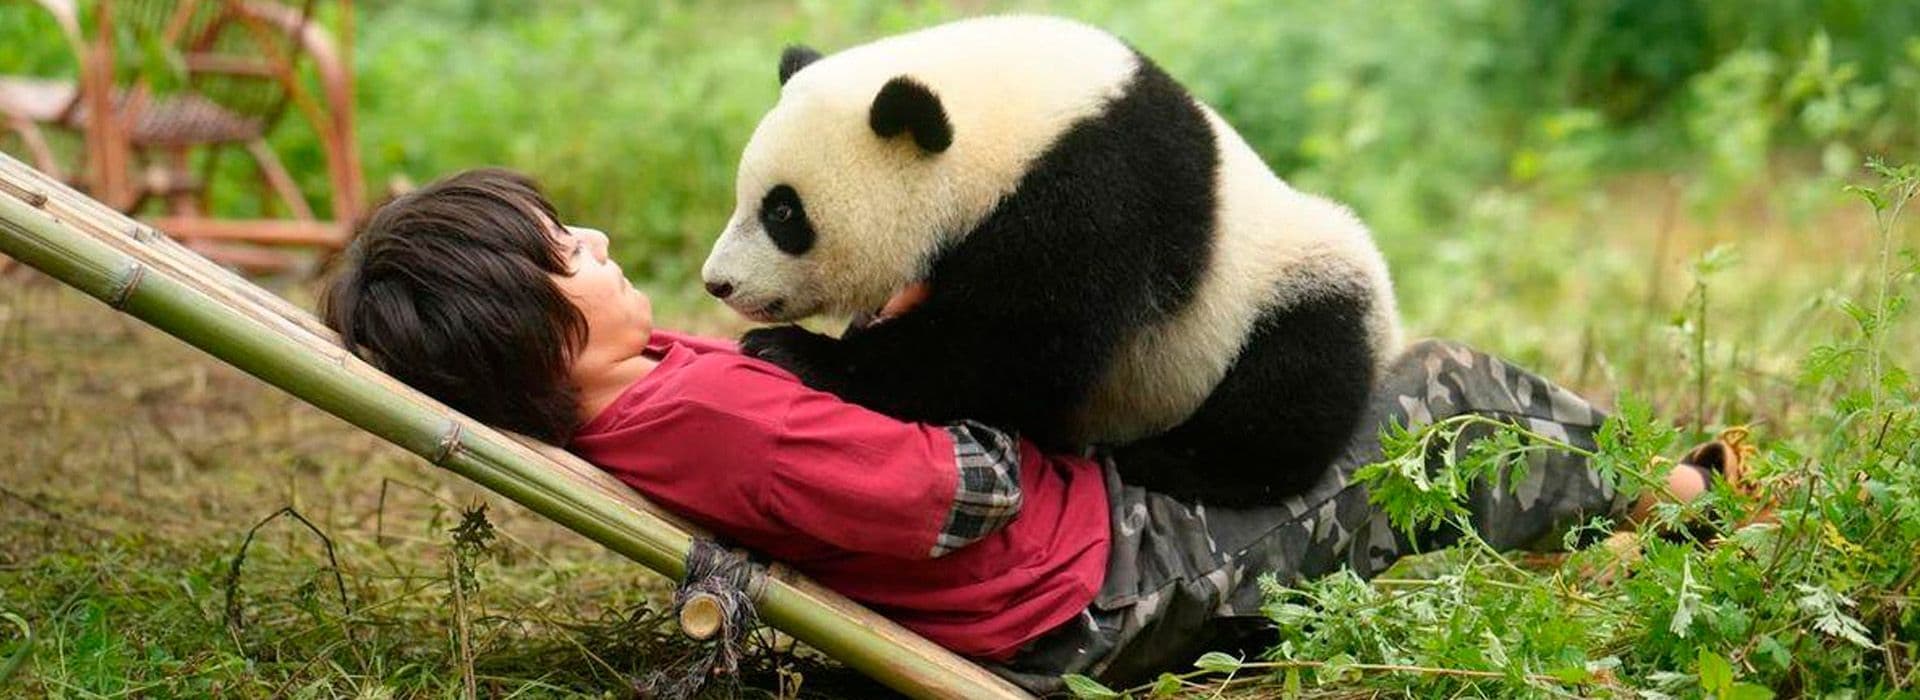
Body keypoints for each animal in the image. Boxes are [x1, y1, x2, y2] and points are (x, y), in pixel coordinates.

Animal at [701, 15, 1400, 506]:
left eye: (784, 213)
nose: (718, 283)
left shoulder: (1097, 193)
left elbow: (1010, 347)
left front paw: (795, 351)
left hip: (1285, 285)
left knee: (1293, 381)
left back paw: (1175, 464)